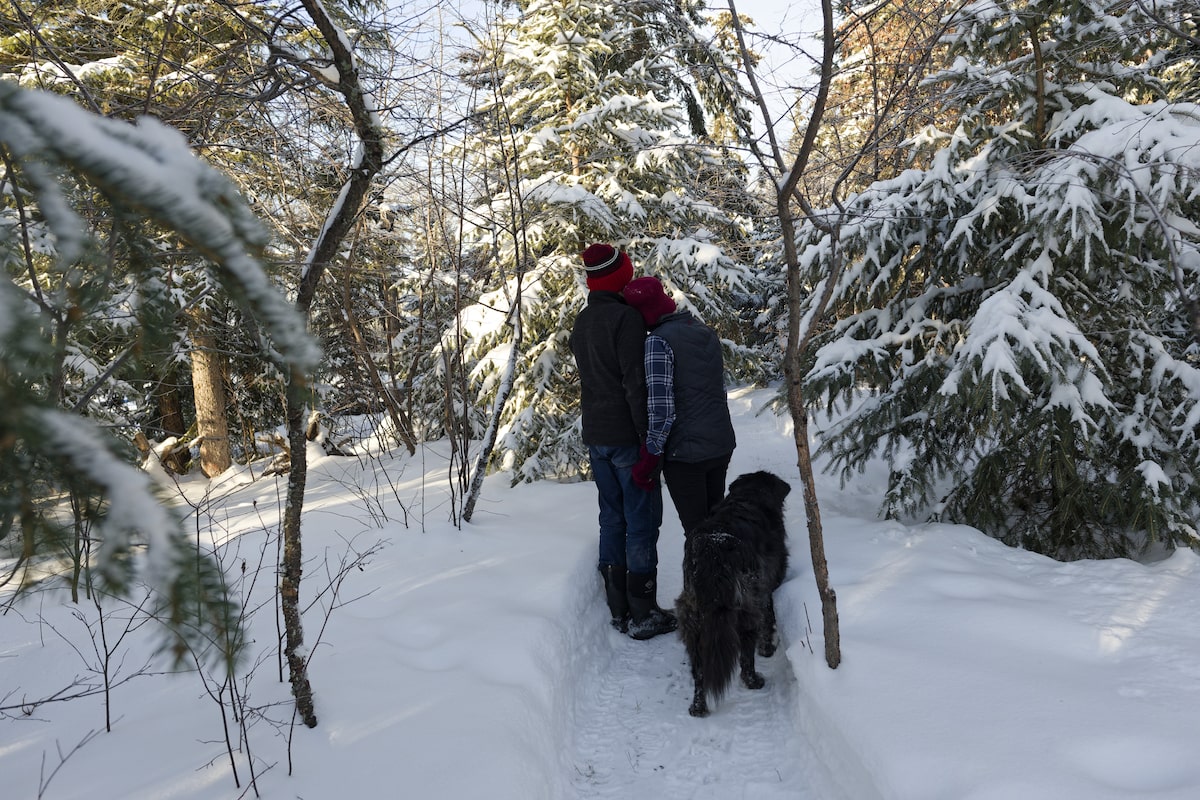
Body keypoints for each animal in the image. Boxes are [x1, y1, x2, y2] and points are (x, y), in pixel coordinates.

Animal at [681, 470, 792, 719]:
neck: (750, 496)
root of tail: (714, 548)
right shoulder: (767, 589)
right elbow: (768, 619)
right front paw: (767, 649)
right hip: (746, 606)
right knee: (745, 653)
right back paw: (754, 680)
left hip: (693, 616)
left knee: (699, 669)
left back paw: (698, 706)